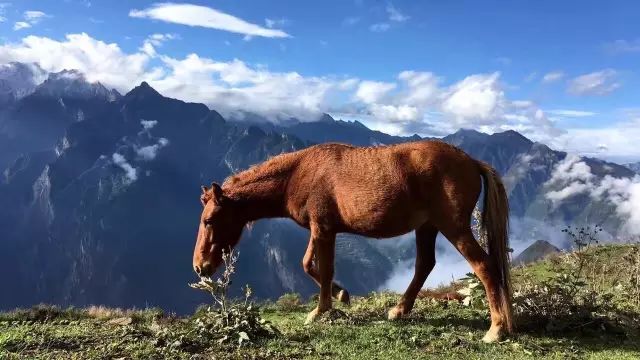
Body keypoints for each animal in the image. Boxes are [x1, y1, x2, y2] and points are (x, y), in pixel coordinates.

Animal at [192, 139, 512, 342]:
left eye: (209, 221)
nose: (199, 267)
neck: (299, 172)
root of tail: (472, 161)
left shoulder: (322, 229)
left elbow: (324, 268)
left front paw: (320, 311)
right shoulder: (321, 229)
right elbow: (308, 264)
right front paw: (340, 294)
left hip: (452, 227)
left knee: (483, 266)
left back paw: (496, 329)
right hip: (427, 227)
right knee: (425, 264)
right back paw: (399, 310)